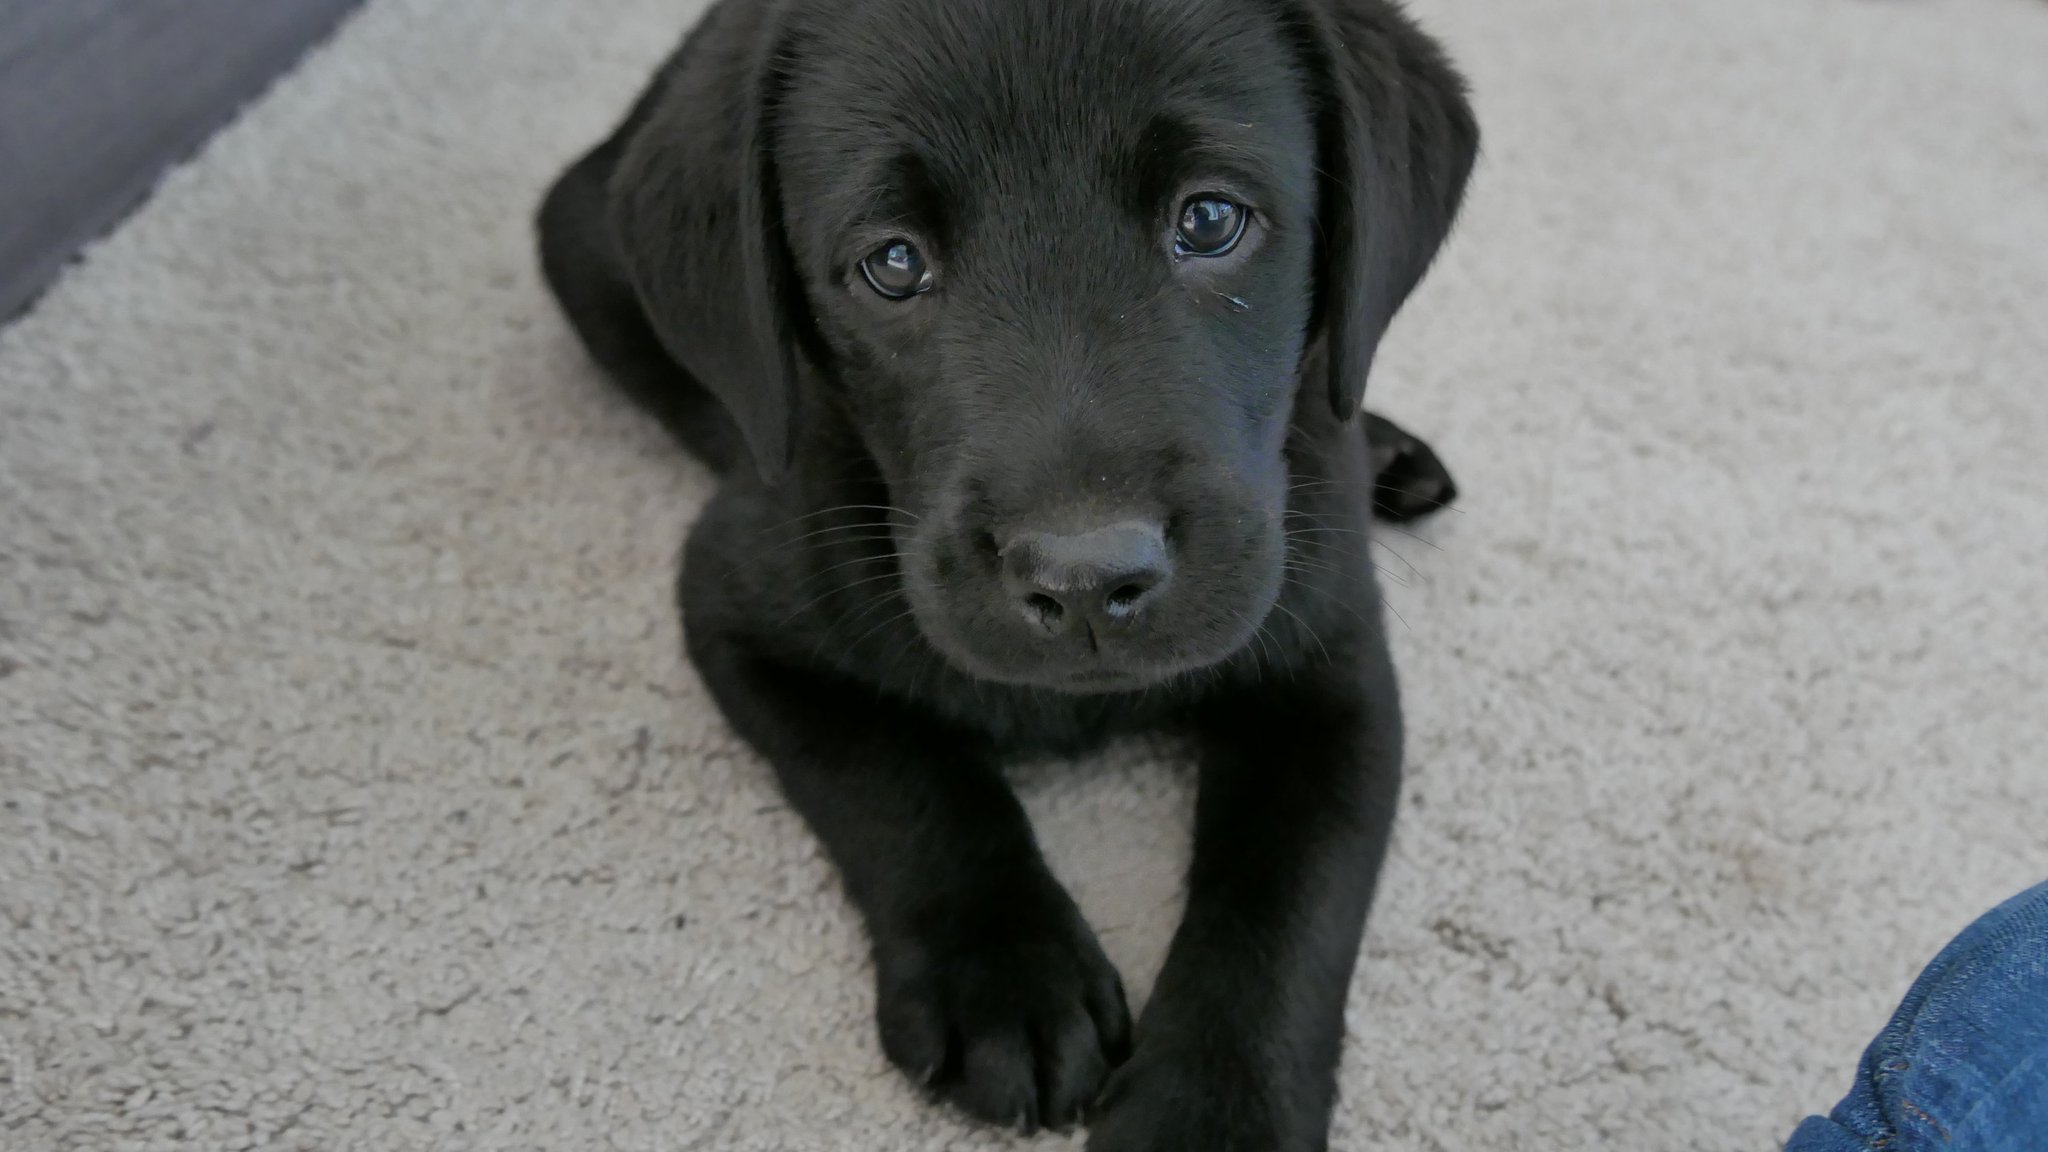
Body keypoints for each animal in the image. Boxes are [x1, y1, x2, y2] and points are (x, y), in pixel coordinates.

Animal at [540, 0, 1474, 1139]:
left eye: (1210, 220)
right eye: (894, 264)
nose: (1085, 580)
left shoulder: (1331, 670)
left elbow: (1287, 904)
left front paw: (1208, 1110)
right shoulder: (736, 604)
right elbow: (902, 776)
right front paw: (1006, 977)